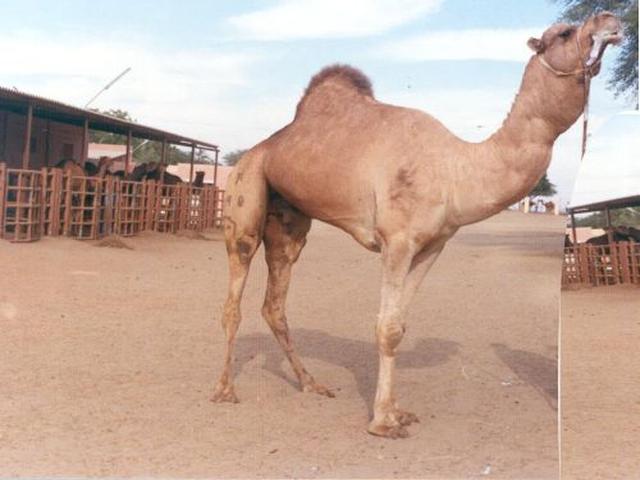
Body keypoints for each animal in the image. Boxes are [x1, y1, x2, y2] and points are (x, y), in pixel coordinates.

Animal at [211, 13, 622, 438]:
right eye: (564, 32)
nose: (609, 21)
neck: (455, 170)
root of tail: (261, 148)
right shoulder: (396, 240)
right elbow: (386, 327)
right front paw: (382, 422)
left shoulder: (432, 246)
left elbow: (399, 327)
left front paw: (396, 411)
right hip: (245, 191)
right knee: (235, 289)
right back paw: (225, 390)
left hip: (289, 217)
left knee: (275, 300)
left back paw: (311, 383)